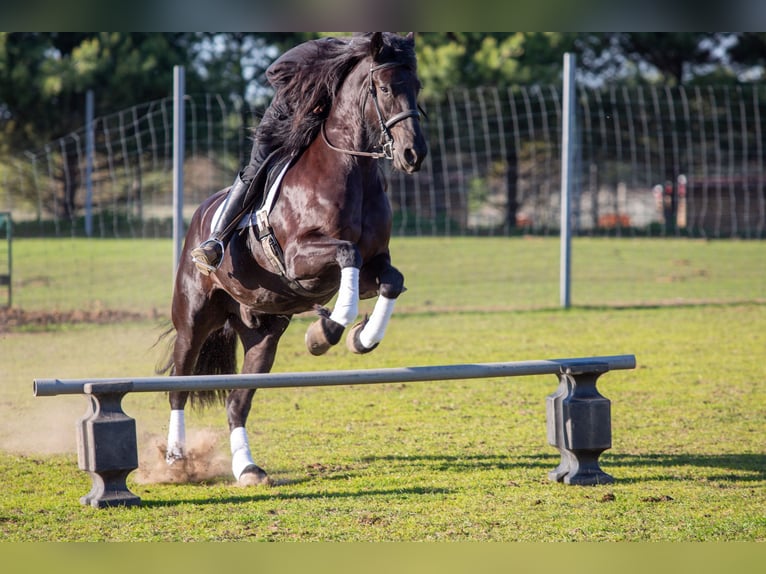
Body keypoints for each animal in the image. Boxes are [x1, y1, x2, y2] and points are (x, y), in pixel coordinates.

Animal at [159, 32, 427, 486]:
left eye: (418, 87)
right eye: (385, 88)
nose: (414, 154)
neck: (350, 168)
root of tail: (198, 217)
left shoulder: (373, 265)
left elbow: (390, 279)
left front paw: (360, 337)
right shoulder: (302, 260)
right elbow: (347, 252)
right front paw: (326, 331)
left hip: (262, 334)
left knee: (237, 402)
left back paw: (248, 469)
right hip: (194, 319)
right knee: (179, 385)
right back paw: (176, 458)